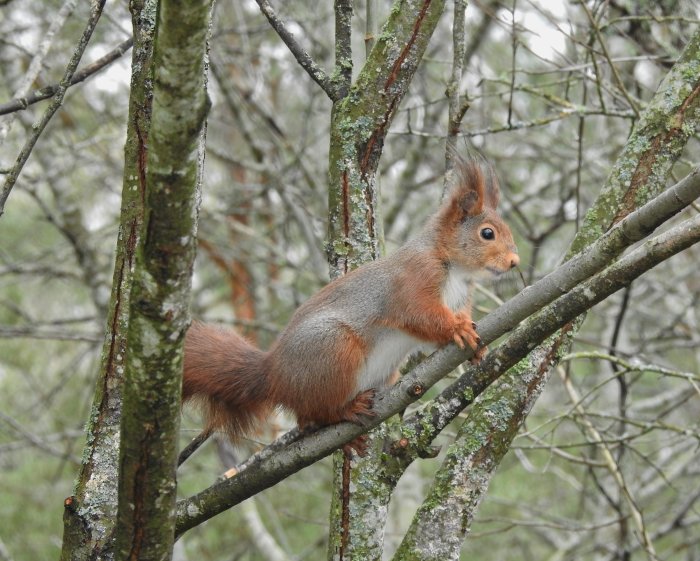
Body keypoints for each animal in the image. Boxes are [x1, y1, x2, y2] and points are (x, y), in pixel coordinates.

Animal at [183, 158, 516, 446]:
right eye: (487, 233)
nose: (515, 262)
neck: (456, 269)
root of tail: (274, 374)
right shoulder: (413, 279)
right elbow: (418, 315)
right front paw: (458, 329)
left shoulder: (459, 299)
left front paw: (476, 348)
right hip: (333, 349)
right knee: (316, 411)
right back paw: (345, 410)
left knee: (307, 419)